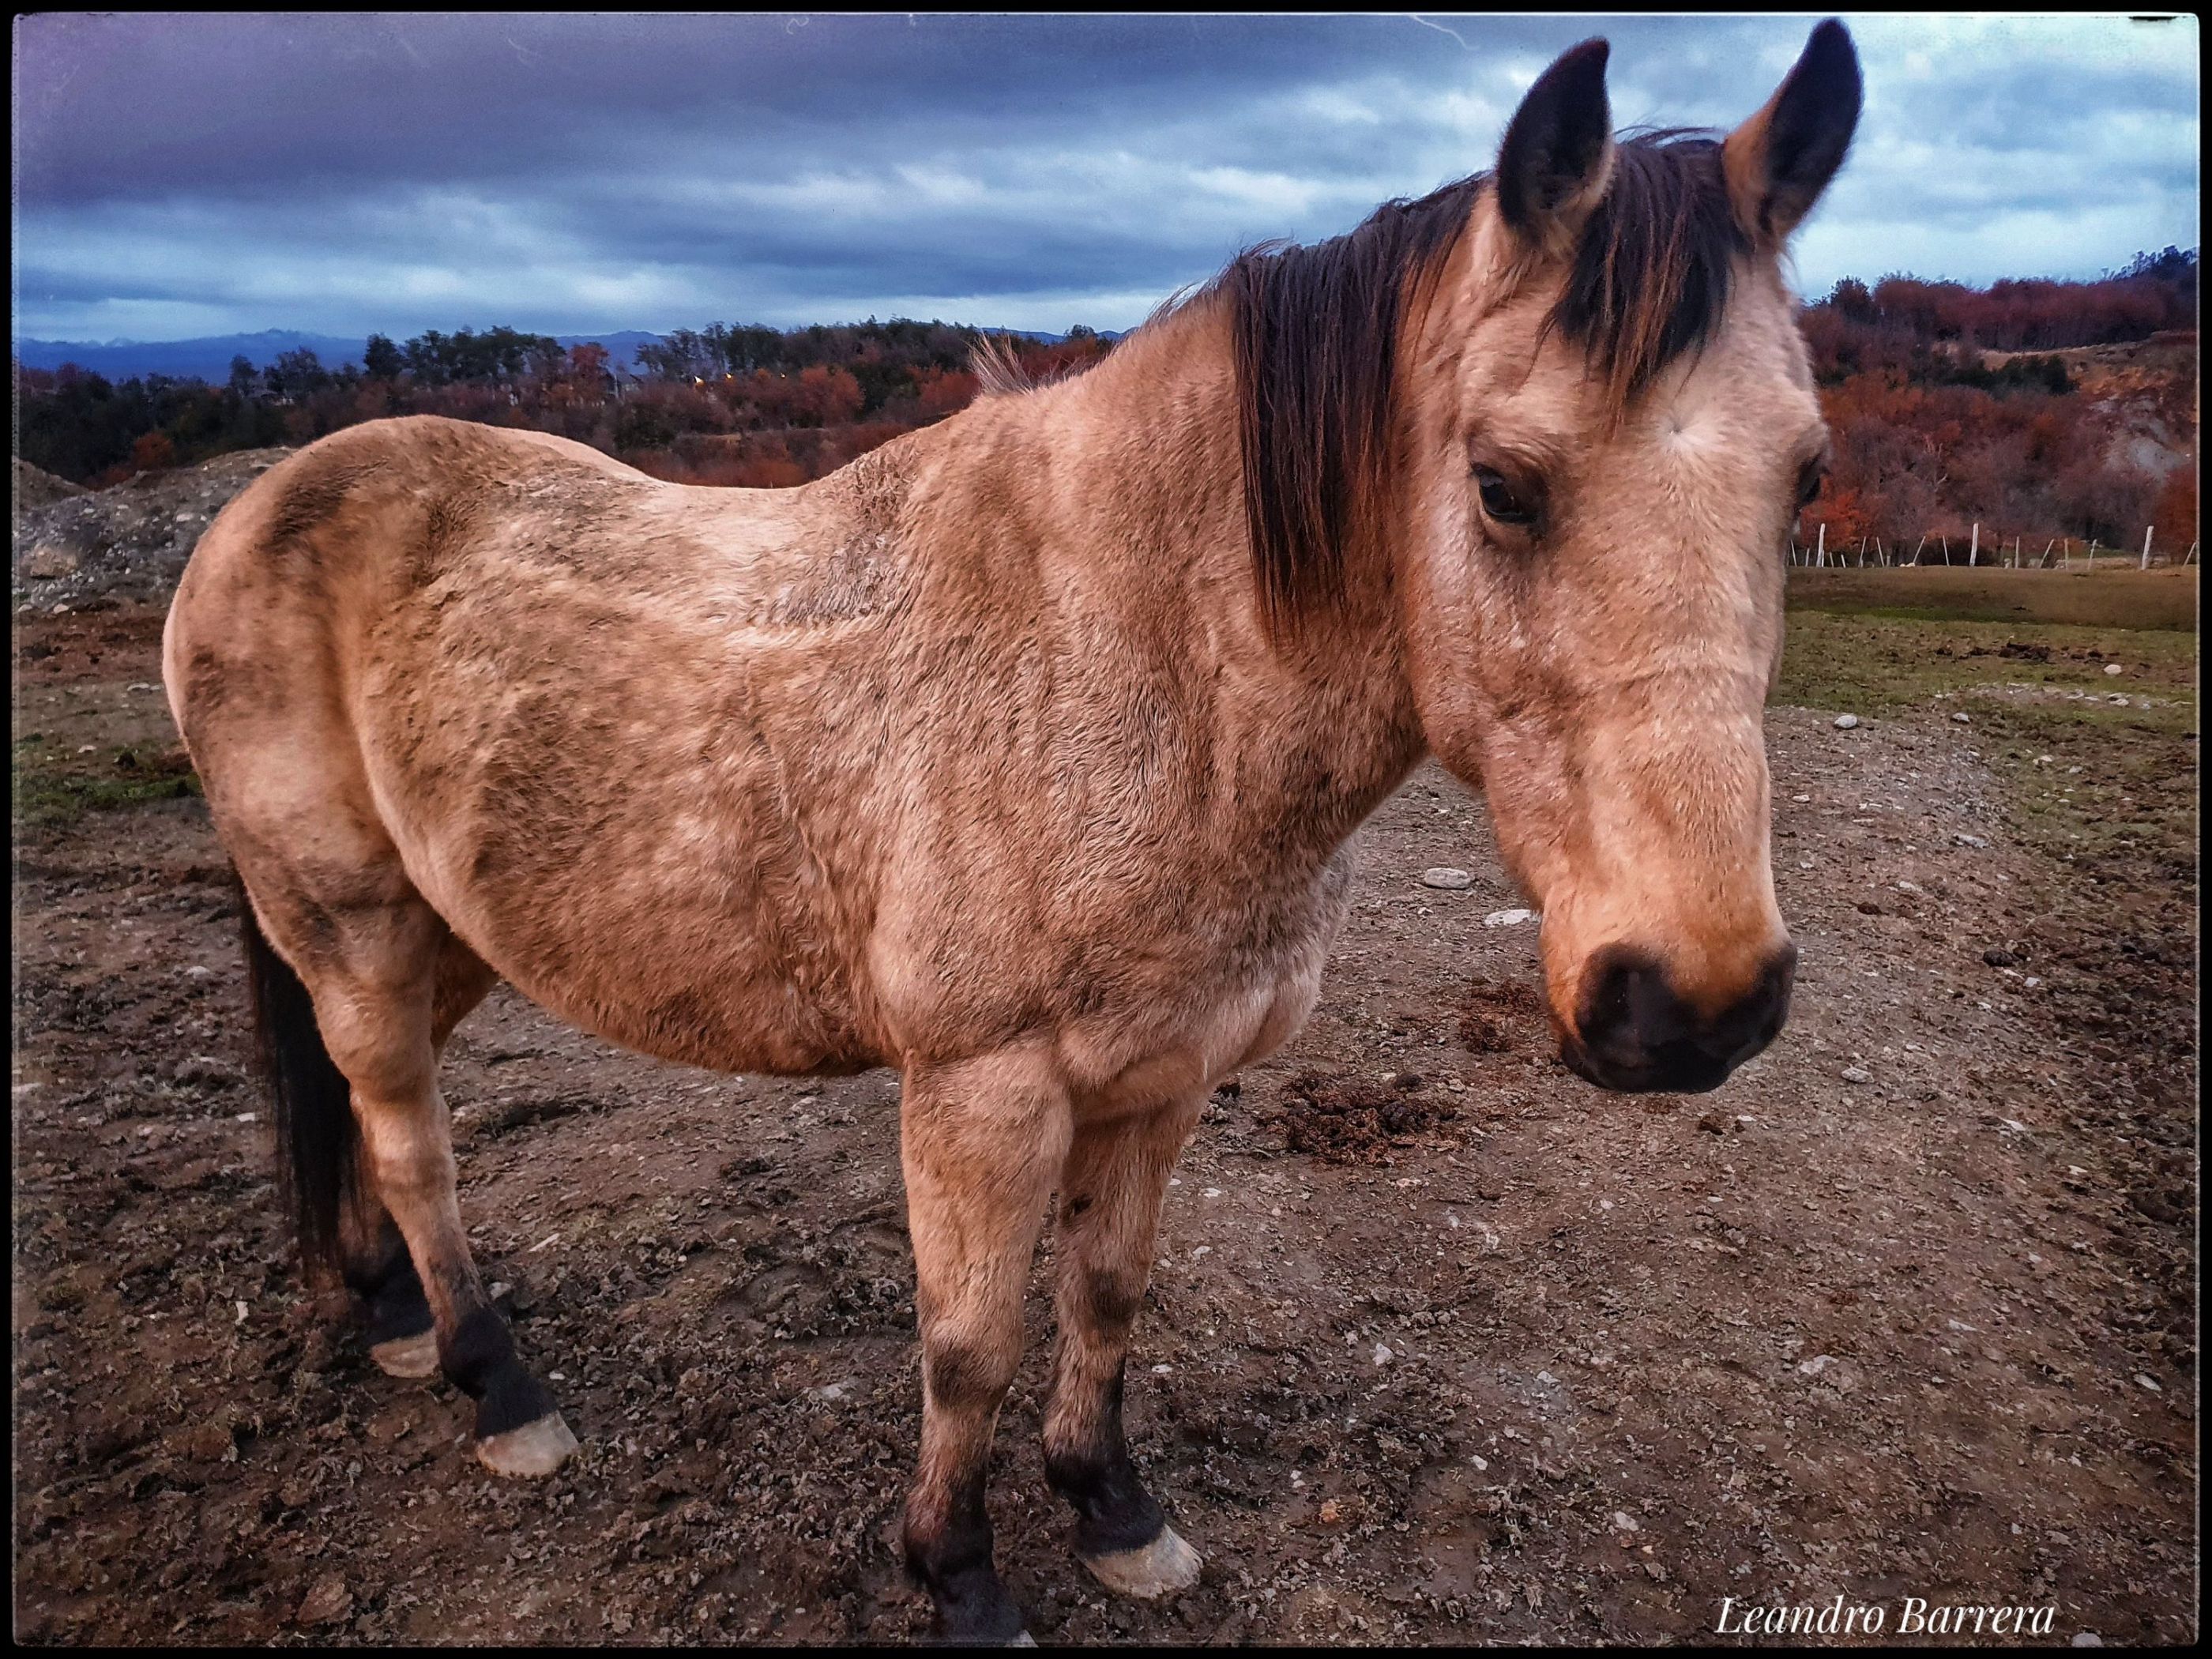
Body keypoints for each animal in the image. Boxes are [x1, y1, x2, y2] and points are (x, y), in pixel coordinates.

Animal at [164, 16, 1867, 1654]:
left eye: (1807, 475)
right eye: (1505, 486)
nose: (1695, 1002)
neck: (1130, 660)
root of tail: (254, 513)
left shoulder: (1165, 1077)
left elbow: (1107, 1296)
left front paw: (1112, 1508)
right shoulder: (981, 1092)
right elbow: (968, 1345)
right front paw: (960, 1574)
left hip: (448, 929)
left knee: (358, 1113)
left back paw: (384, 1320)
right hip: (352, 929)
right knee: (408, 1136)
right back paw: (494, 1383)